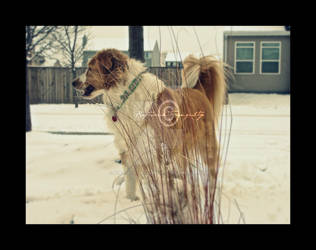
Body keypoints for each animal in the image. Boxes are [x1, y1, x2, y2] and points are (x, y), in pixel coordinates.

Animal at [72, 48, 225, 201]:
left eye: (90, 68)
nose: (73, 82)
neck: (126, 94)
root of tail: (197, 91)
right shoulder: (129, 151)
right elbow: (131, 183)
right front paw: (131, 200)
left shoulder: (157, 152)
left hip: (205, 145)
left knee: (211, 170)